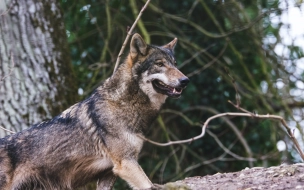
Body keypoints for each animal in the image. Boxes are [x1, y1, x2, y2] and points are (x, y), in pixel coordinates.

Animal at [0, 33, 189, 189]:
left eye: (175, 64)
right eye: (160, 64)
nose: (185, 80)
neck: (125, 103)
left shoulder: (109, 173)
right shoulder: (126, 163)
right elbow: (148, 185)